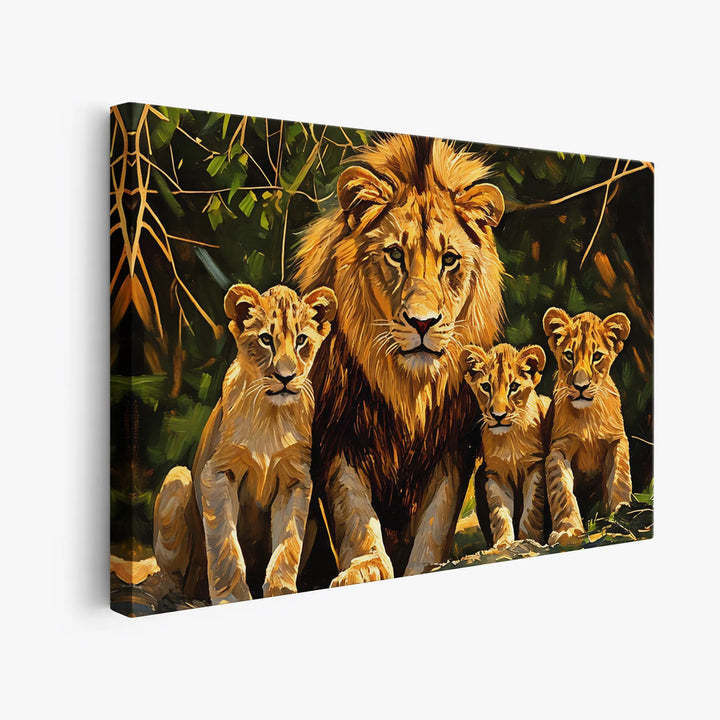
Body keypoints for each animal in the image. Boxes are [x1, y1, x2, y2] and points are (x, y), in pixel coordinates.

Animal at [153, 283, 337, 602]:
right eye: (265, 339)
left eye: (301, 340)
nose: (286, 377)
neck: (271, 415)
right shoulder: (217, 472)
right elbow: (224, 544)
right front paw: (232, 597)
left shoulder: (296, 480)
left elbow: (288, 544)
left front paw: (280, 591)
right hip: (178, 478)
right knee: (176, 575)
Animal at [294, 134, 505, 585]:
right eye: (394, 254)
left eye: (449, 259)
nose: (422, 322)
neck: (409, 387)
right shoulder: (338, 436)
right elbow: (354, 513)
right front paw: (365, 567)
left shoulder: (451, 446)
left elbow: (437, 520)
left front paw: (425, 567)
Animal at [460, 343, 550, 548]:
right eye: (486, 387)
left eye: (514, 387)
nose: (498, 416)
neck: (509, 438)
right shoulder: (494, 474)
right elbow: (500, 513)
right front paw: (503, 543)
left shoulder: (535, 467)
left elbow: (531, 510)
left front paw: (529, 540)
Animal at [542, 307, 632, 546]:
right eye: (569, 355)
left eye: (597, 356)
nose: (580, 387)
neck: (587, 416)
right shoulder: (559, 448)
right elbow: (561, 490)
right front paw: (567, 530)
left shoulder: (616, 441)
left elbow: (620, 478)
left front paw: (621, 512)